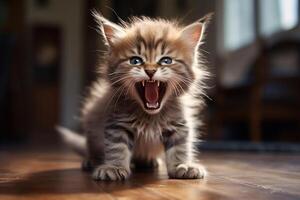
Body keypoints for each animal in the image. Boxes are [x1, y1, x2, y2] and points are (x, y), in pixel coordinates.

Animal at [57, 11, 210, 181]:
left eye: (166, 60)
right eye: (135, 60)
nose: (150, 71)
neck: (150, 116)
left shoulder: (179, 124)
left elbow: (180, 146)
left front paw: (182, 165)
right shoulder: (117, 123)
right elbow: (117, 147)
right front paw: (115, 167)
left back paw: (149, 161)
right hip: (92, 124)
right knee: (92, 148)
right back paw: (91, 161)